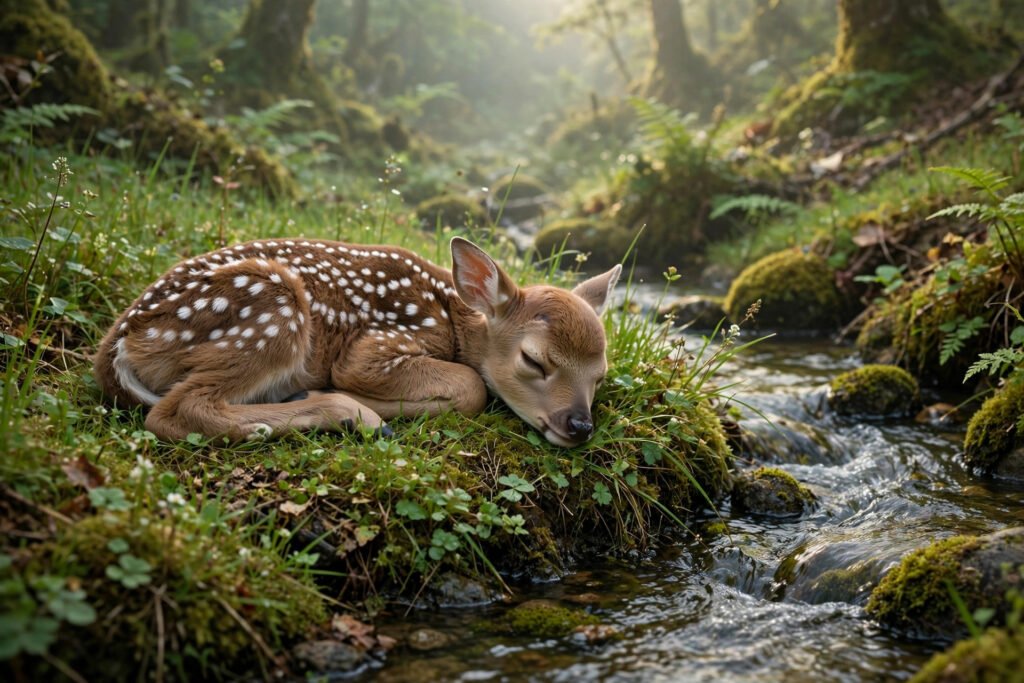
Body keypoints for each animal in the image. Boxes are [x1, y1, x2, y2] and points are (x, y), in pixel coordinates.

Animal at [93, 237, 622, 447]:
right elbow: (472, 386)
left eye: (599, 375)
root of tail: (117, 348)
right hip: (271, 310)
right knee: (176, 411)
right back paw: (346, 412)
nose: (578, 425)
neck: (452, 318)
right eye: (533, 359)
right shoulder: (375, 347)